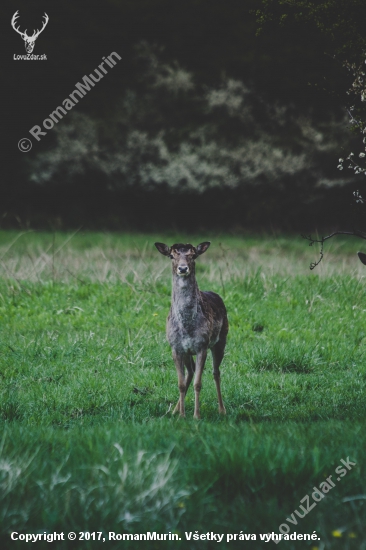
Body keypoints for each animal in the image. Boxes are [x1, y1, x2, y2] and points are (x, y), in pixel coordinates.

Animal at [154, 242, 229, 418]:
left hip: (221, 340)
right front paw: (182, 415)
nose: (182, 268)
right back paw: (175, 410)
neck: (187, 326)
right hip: (188, 352)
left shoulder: (202, 345)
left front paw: (196, 416)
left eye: (193, 255)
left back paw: (222, 409)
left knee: (216, 372)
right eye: (172, 255)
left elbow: (198, 383)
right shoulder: (175, 347)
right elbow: (181, 383)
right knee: (191, 371)